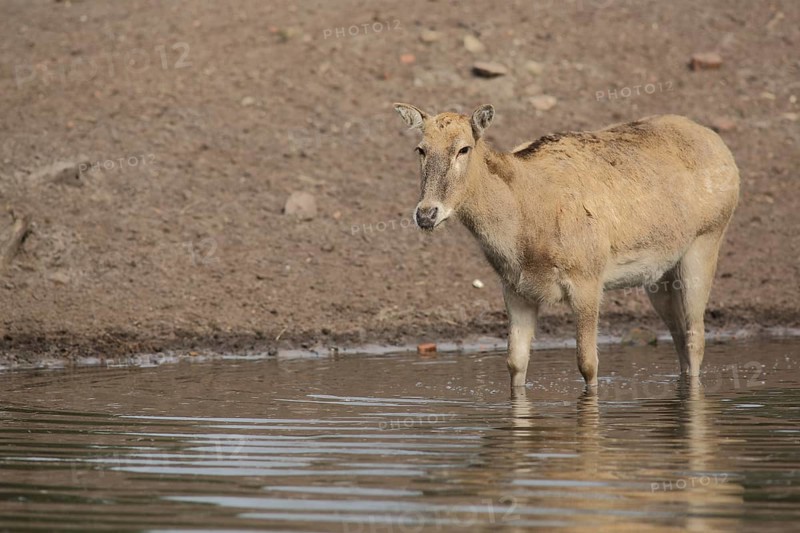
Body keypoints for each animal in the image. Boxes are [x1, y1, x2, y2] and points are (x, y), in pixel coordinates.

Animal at [393, 103, 739, 391]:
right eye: (420, 149)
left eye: (464, 148)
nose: (426, 214)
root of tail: (724, 151)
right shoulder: (515, 289)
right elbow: (515, 363)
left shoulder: (588, 281)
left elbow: (588, 363)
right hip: (659, 276)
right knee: (679, 334)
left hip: (705, 243)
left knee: (695, 336)